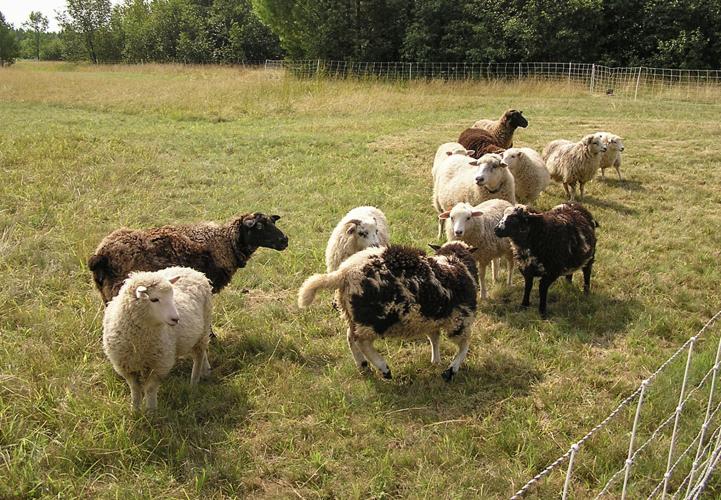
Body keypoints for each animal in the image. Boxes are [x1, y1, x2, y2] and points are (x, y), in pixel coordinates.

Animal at [88, 212, 289, 304]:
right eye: (259, 227)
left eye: (272, 222)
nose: (284, 240)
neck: (225, 242)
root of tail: (101, 255)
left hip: (105, 292)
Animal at [102, 266, 213, 411]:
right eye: (154, 299)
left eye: (172, 296)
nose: (176, 319)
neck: (140, 341)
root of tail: (191, 270)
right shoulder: (126, 365)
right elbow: (135, 390)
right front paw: (135, 410)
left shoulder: (159, 363)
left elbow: (150, 389)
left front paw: (151, 411)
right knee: (202, 352)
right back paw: (205, 371)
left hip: (204, 328)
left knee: (198, 356)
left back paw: (194, 383)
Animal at [298, 242, 478, 381]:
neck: (456, 262)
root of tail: (345, 273)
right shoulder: (460, 319)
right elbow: (464, 346)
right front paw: (451, 369)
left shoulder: (431, 319)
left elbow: (434, 338)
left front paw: (436, 361)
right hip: (375, 319)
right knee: (362, 342)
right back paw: (383, 368)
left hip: (354, 315)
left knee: (350, 337)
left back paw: (363, 365)